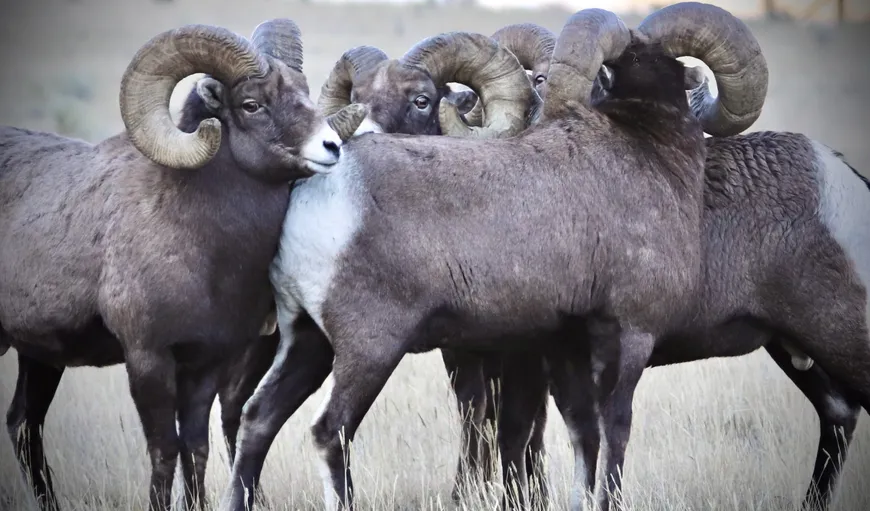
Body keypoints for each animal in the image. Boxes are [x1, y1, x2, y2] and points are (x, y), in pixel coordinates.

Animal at [0, 19, 366, 511]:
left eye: (304, 92)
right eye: (252, 104)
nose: (330, 147)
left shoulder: (205, 366)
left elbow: (195, 447)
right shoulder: (148, 359)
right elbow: (164, 449)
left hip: (40, 357)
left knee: (25, 425)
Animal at [217, 4, 770, 510]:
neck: (649, 151)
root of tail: (319, 191)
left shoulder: (561, 347)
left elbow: (579, 435)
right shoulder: (628, 335)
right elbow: (612, 430)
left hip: (306, 342)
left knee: (257, 419)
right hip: (370, 349)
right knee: (330, 431)